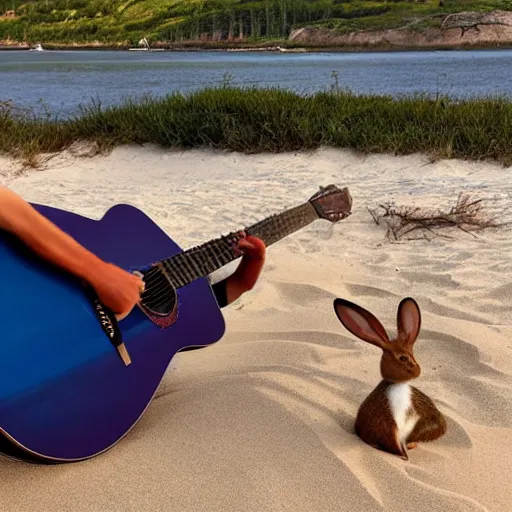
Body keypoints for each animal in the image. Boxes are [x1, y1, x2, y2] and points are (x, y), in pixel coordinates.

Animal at [332, 296, 448, 460]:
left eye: (414, 355)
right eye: (403, 358)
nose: (418, 371)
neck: (398, 385)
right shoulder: (388, 417)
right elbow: (392, 438)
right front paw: (404, 455)